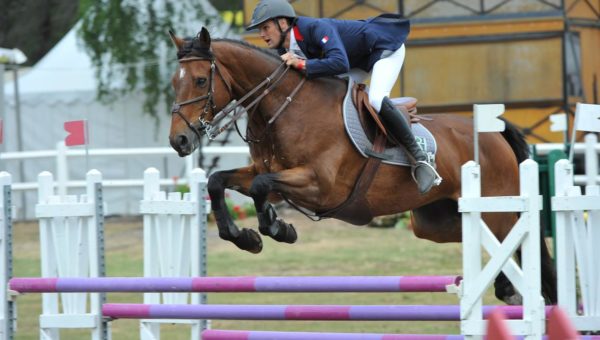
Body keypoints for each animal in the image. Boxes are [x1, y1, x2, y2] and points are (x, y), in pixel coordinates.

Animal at [166, 27, 556, 304]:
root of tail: (495, 134)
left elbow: (262, 188)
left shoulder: (319, 186)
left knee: (513, 240)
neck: (285, 107)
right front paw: (246, 237)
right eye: (173, 82)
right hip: (433, 222)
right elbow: (218, 181)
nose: (179, 141)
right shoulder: (266, 172)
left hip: (494, 209)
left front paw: (278, 228)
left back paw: (511, 290)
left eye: (200, 80)